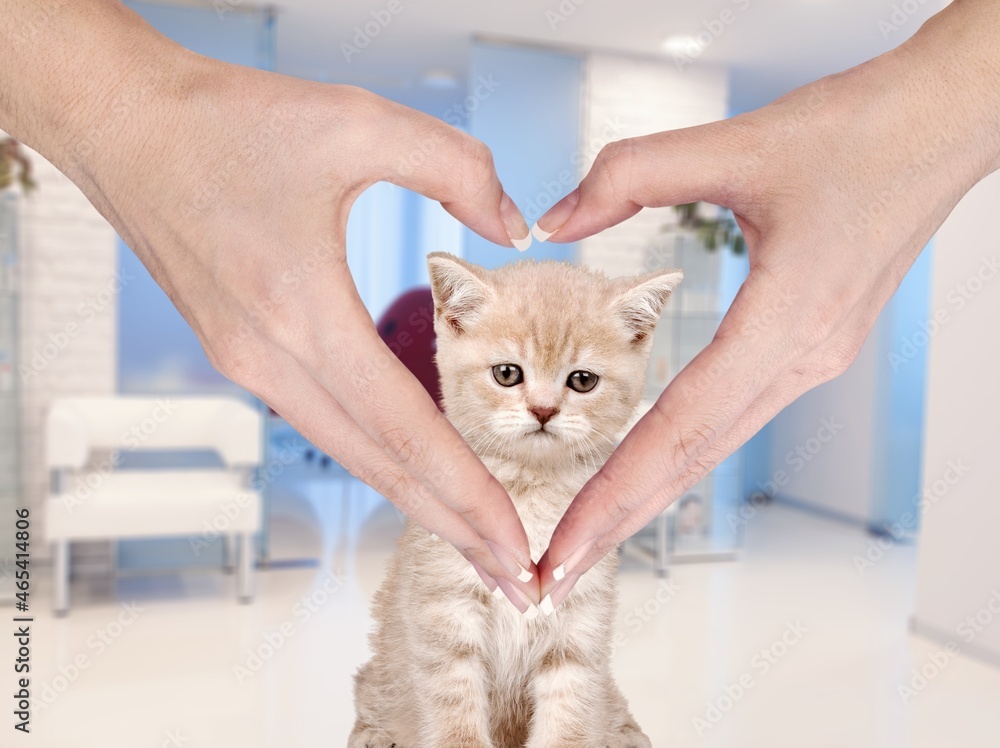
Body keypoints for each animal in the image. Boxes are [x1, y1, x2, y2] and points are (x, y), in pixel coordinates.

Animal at [348, 253, 684, 748]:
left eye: (583, 380)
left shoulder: (578, 615)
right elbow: (454, 710)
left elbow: (569, 714)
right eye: (507, 374)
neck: (531, 489)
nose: (543, 410)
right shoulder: (444, 609)